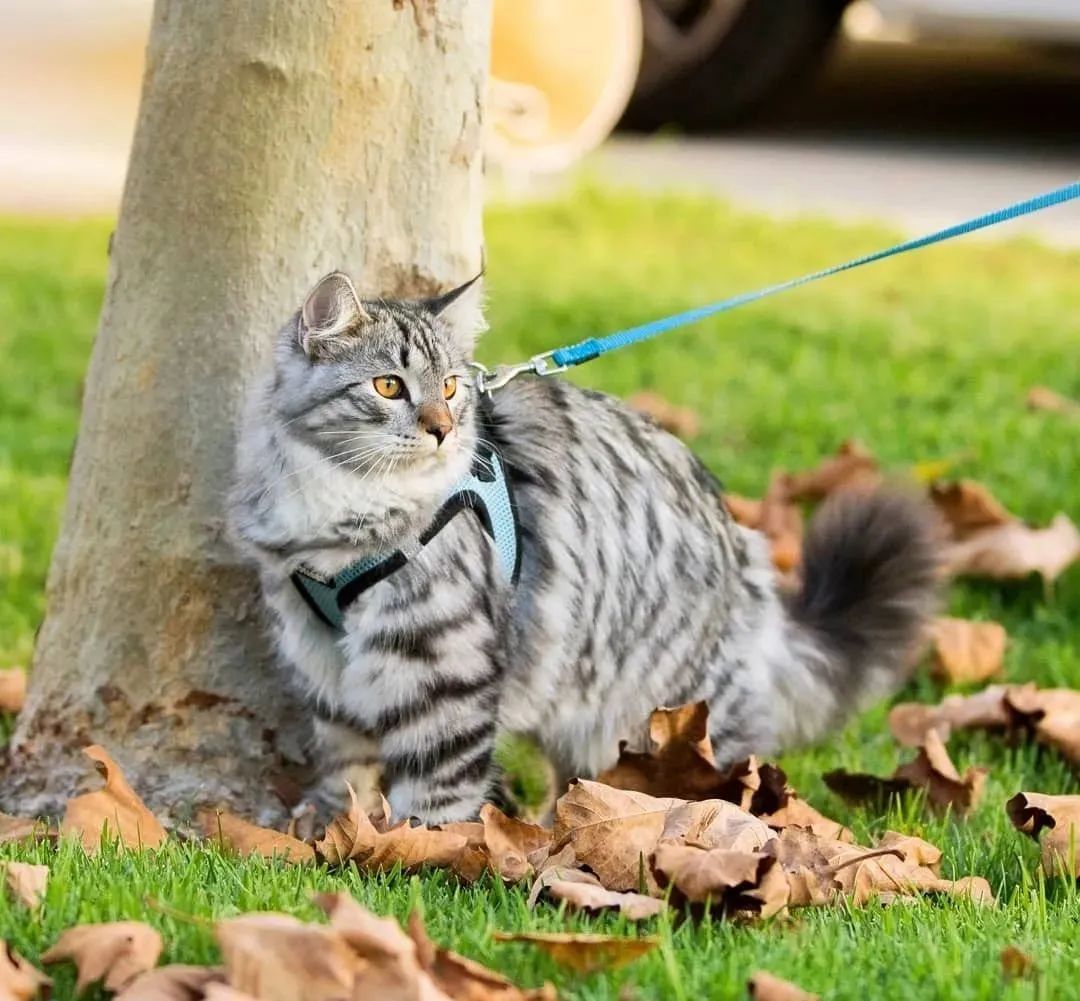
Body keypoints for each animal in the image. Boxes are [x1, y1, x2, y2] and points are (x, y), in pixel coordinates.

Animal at [232, 267, 941, 820]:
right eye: (388, 387)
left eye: (451, 389)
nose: (441, 428)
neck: (339, 514)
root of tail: (751, 560)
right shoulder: (324, 662)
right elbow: (345, 769)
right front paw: (332, 832)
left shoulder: (446, 666)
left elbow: (438, 789)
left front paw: (419, 856)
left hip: (668, 716)